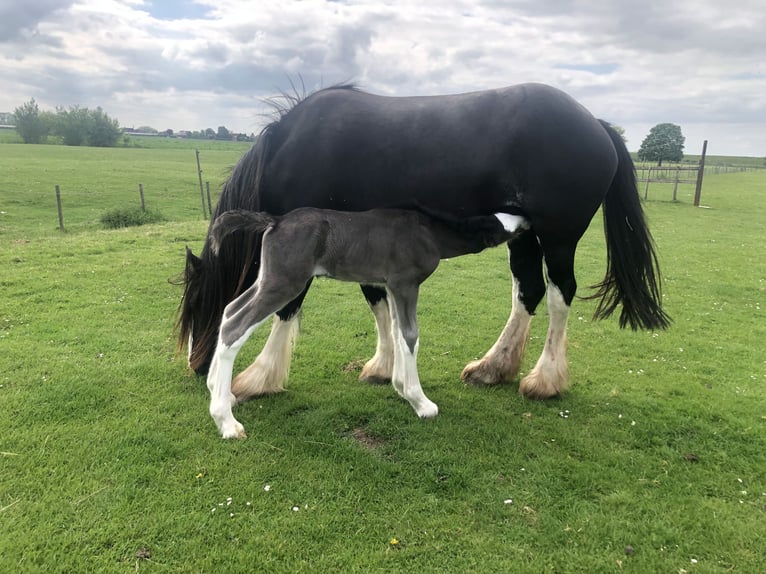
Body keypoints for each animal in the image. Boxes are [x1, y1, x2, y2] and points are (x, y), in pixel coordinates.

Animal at [178, 82, 670, 413]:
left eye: (196, 306)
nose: (197, 368)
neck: (294, 148)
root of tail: (597, 125)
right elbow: (377, 301)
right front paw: (383, 366)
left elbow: (289, 307)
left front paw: (260, 377)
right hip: (523, 235)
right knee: (527, 291)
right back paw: (493, 368)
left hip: (558, 236)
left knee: (559, 294)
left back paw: (544, 380)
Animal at [204, 206, 527, 438]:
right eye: (502, 226)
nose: (526, 218)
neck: (430, 233)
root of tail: (276, 220)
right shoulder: (405, 283)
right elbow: (410, 335)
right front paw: (421, 402)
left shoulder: (393, 287)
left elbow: (397, 331)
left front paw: (400, 387)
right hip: (285, 283)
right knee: (235, 326)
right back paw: (226, 422)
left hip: (268, 279)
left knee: (230, 310)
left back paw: (219, 389)